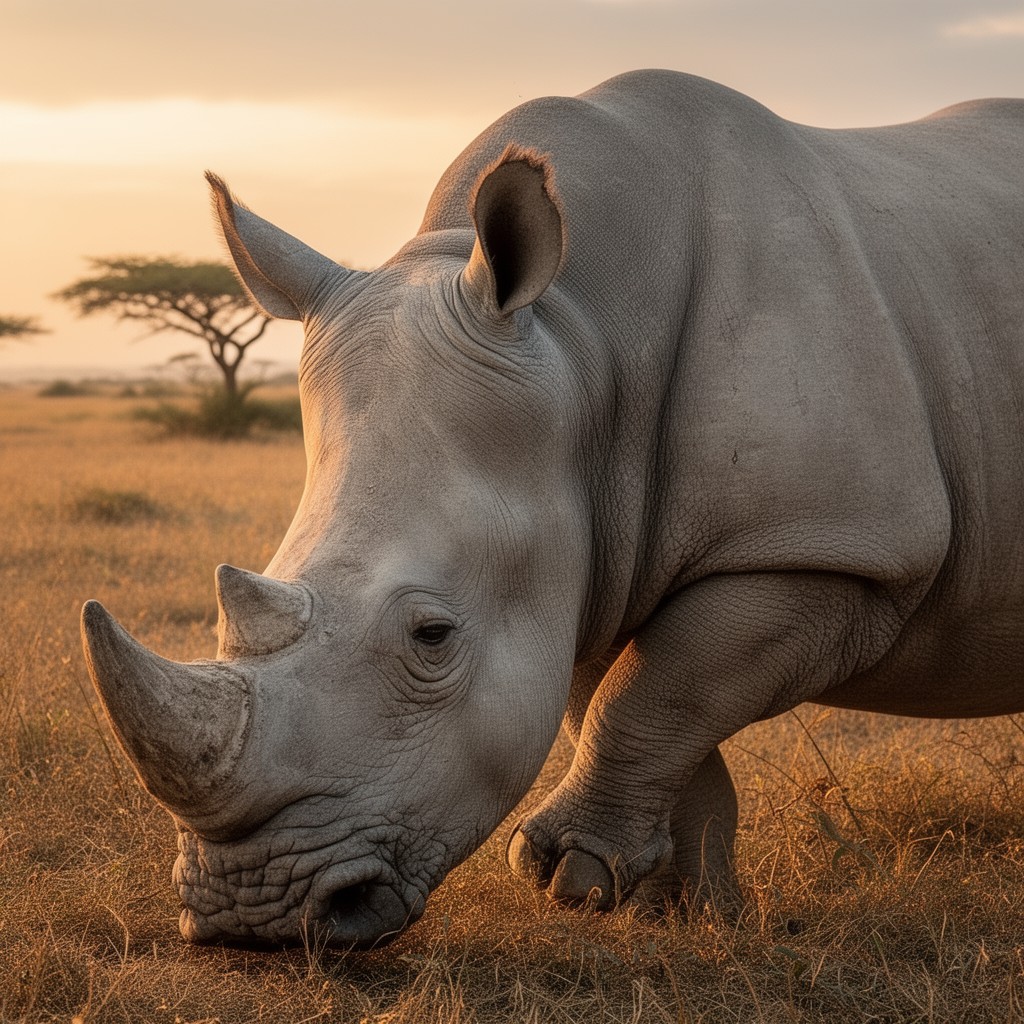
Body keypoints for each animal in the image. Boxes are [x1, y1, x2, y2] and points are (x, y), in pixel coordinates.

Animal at [81, 70, 1024, 948]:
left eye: (433, 636)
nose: (250, 916)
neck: (582, 339)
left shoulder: (837, 547)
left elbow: (657, 692)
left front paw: (577, 875)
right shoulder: (592, 548)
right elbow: (635, 700)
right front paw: (685, 912)